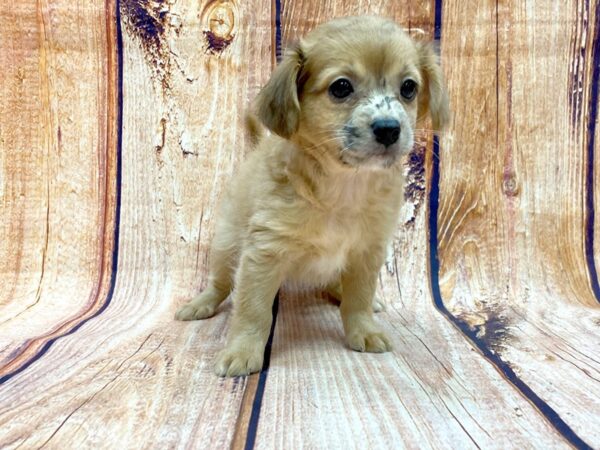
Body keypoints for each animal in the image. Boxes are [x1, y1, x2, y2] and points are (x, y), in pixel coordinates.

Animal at [176, 16, 448, 376]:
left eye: (408, 88)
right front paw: (242, 350)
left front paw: (364, 330)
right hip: (226, 246)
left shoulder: (367, 252)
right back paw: (200, 304)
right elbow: (252, 311)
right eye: (341, 87)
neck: (343, 187)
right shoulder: (263, 254)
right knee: (220, 283)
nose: (389, 128)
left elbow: (359, 300)